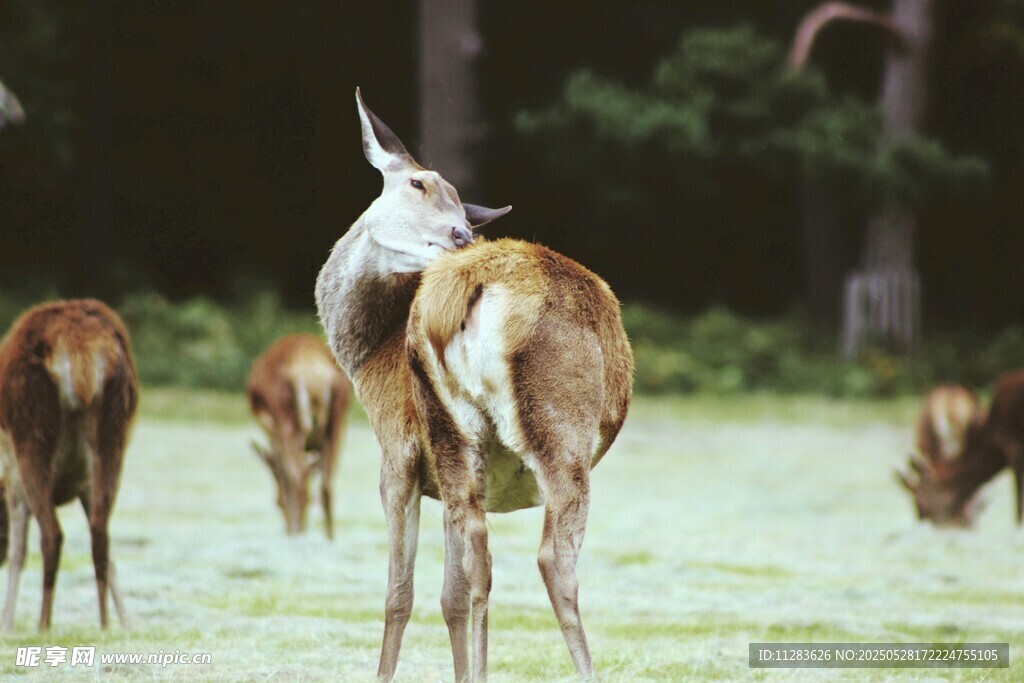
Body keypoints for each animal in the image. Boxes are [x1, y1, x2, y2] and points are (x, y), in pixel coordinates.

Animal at [0, 299, 137, 631]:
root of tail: (81, 348)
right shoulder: (84, 486)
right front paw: (128, 622)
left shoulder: (13, 481)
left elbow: (17, 552)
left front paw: (6, 624)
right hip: (114, 434)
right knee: (101, 535)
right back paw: (105, 624)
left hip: (31, 434)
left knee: (52, 535)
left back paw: (43, 625)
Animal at [247, 333, 352, 538]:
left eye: (277, 503)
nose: (286, 529)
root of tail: (314, 372)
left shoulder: (273, 435)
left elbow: (286, 476)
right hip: (338, 419)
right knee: (326, 485)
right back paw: (329, 539)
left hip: (286, 418)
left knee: (299, 477)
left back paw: (299, 536)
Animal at [315, 89, 633, 682]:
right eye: (417, 184)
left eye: (464, 206)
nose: (463, 233)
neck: (368, 361)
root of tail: (468, 282)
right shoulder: (422, 461)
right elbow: (436, 594)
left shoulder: (399, 452)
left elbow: (414, 594)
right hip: (510, 428)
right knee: (512, 555)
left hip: (508, 426)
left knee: (520, 556)